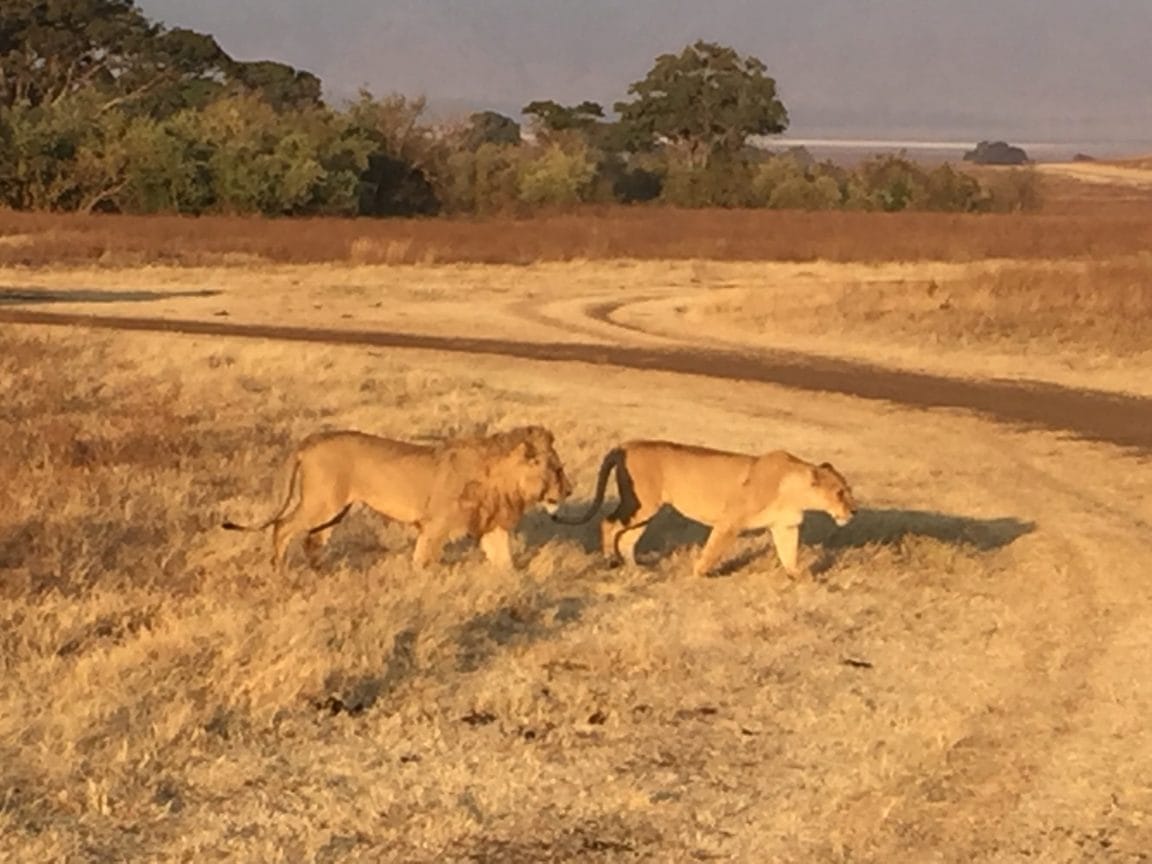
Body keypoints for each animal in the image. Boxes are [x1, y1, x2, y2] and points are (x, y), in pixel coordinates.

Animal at [223, 428, 571, 576]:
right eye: (557, 468)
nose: (568, 490)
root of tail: (310, 440)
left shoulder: (492, 527)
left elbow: (505, 563)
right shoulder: (435, 526)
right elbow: (424, 560)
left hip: (334, 510)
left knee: (312, 540)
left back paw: (320, 573)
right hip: (322, 503)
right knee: (282, 526)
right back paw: (278, 570)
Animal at [557, 442, 857, 578]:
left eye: (848, 490)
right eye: (840, 492)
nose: (854, 512)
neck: (795, 492)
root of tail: (626, 444)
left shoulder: (785, 527)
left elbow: (789, 555)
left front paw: (801, 579)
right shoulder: (729, 522)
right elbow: (713, 550)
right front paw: (698, 574)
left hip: (646, 510)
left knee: (628, 538)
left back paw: (636, 569)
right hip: (640, 504)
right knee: (608, 523)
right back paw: (611, 560)